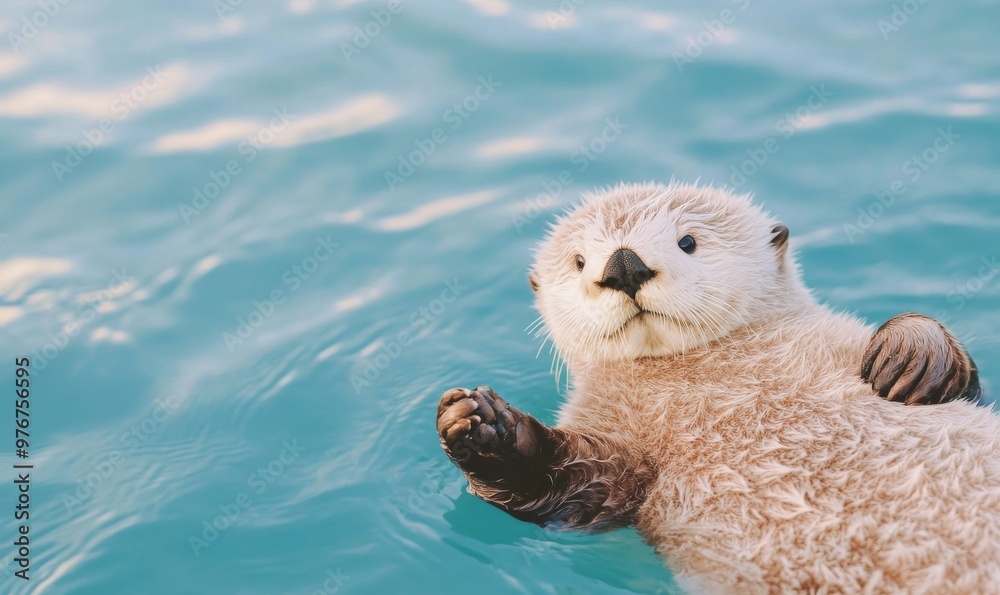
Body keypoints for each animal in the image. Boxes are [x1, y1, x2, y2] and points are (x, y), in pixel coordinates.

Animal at [436, 182, 993, 593]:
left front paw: (912, 354)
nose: (623, 265)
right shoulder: (617, 453)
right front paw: (479, 425)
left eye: (688, 241)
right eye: (577, 262)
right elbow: (571, 493)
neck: (700, 370)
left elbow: (966, 383)